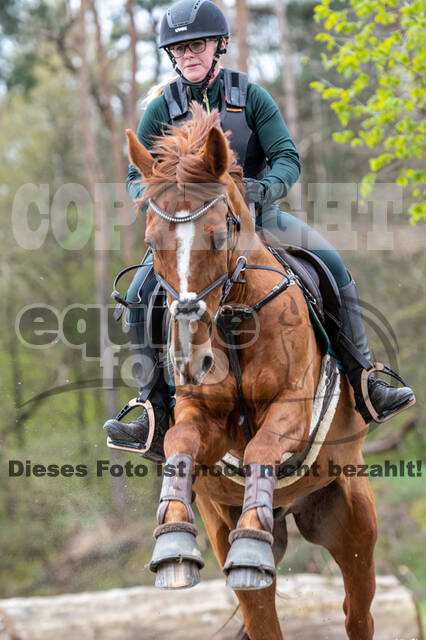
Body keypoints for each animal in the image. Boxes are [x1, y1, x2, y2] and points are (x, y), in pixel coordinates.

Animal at [125, 105, 376, 640]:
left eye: (220, 235)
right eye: (152, 242)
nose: (192, 359)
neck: (233, 318)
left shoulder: (293, 411)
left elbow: (263, 445)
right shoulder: (201, 418)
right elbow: (179, 442)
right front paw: (172, 545)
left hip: (353, 514)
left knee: (357, 611)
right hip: (224, 523)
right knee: (262, 615)